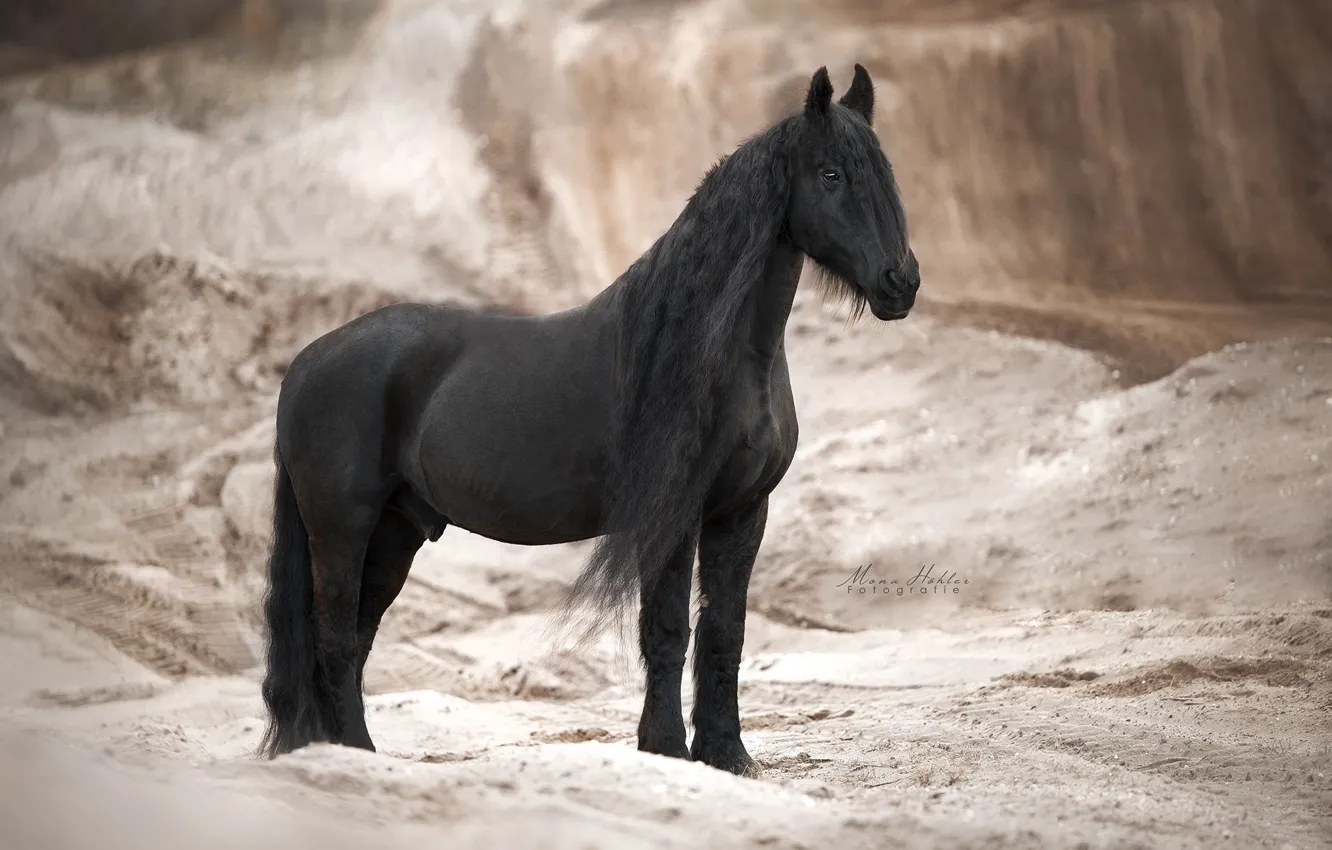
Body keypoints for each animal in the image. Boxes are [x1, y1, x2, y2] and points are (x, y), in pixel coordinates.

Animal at [258, 62, 919, 776]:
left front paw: (727, 755)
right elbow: (668, 631)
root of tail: (308, 362)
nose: (901, 282)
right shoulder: (672, 515)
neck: (716, 351)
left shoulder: (742, 514)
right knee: (334, 638)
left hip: (395, 530)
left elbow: (726, 632)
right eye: (831, 174)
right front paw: (666, 748)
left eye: (883, 172)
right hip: (341, 528)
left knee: (355, 634)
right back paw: (354, 754)